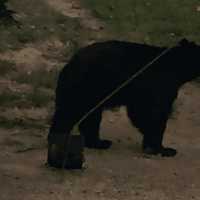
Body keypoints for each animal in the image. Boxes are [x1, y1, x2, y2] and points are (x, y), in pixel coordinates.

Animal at [47, 38, 200, 168]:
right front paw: (164, 149)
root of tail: (68, 65)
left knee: (89, 119)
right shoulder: (159, 85)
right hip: (84, 88)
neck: (175, 65)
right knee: (67, 116)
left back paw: (99, 143)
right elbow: (154, 114)